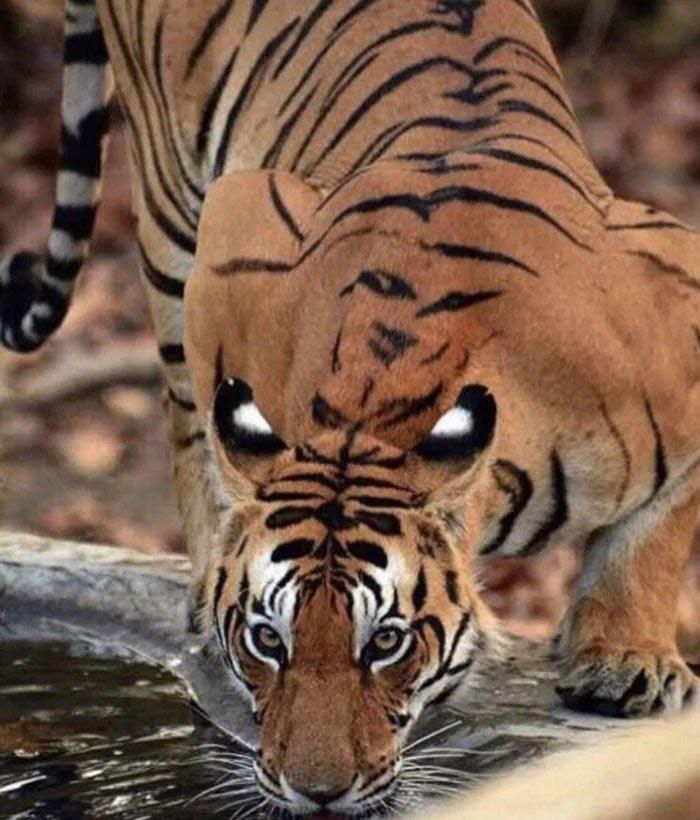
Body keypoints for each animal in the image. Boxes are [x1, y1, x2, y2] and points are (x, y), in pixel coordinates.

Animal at [0, 0, 696, 816]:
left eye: (386, 642)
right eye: (268, 640)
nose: (318, 792)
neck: (374, 416)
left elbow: (653, 539)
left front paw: (629, 657)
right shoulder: (237, 232)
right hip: (171, 215)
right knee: (183, 422)